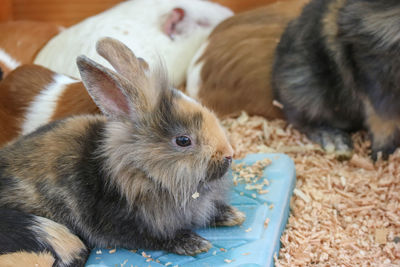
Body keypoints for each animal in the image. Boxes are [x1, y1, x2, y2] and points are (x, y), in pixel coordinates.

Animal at [0, 36, 244, 266]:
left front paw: (234, 215)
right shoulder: (128, 224)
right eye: (183, 140)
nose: (229, 154)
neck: (141, 170)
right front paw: (196, 243)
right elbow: (157, 237)